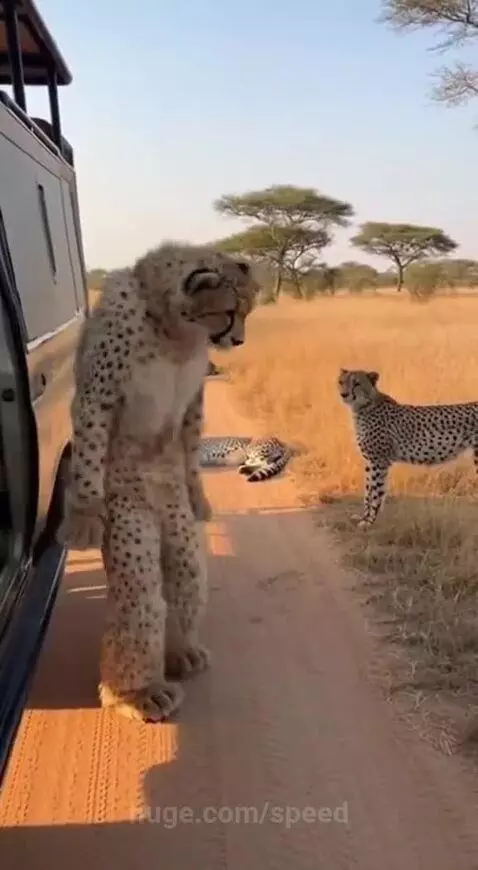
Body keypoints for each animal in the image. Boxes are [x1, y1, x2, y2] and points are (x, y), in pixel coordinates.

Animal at [59, 241, 259, 722]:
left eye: (248, 311)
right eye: (229, 312)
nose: (238, 340)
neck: (172, 328)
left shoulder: (193, 404)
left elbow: (190, 441)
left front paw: (201, 497)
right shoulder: (98, 393)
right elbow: (90, 438)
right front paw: (85, 514)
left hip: (174, 520)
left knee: (186, 573)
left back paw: (180, 653)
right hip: (131, 523)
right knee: (140, 596)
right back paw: (135, 692)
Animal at [338, 367, 478, 528]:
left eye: (357, 383)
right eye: (341, 382)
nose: (344, 394)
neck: (364, 406)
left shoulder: (379, 461)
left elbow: (376, 492)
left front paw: (369, 521)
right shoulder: (370, 461)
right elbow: (368, 491)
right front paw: (364, 517)